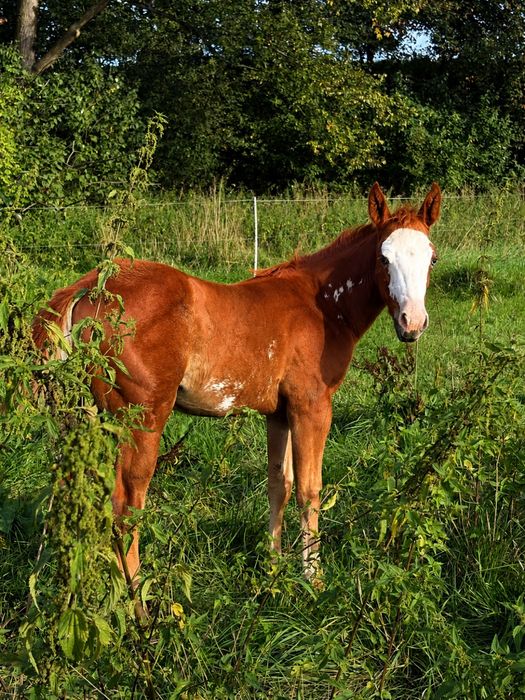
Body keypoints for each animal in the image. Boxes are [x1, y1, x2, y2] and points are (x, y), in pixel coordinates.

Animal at [33, 182, 441, 583]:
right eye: (384, 258)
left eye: (431, 258)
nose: (413, 323)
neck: (323, 305)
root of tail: (90, 287)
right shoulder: (312, 405)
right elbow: (309, 491)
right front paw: (313, 579)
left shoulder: (278, 412)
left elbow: (280, 484)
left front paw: (273, 567)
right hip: (140, 417)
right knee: (125, 506)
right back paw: (137, 595)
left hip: (88, 418)